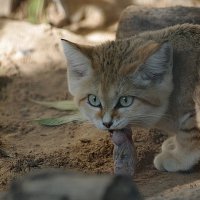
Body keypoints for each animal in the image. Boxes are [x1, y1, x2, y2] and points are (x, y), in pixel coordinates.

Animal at [61, 24, 200, 172]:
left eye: (125, 101)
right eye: (94, 100)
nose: (107, 123)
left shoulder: (191, 107)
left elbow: (189, 133)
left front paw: (180, 158)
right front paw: (174, 144)